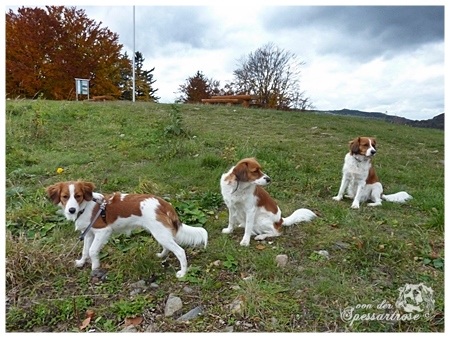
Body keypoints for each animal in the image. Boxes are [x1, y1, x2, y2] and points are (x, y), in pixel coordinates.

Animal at [45, 180, 207, 278]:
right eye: (65, 196)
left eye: (78, 196)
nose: (71, 210)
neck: (86, 206)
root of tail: (163, 203)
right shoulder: (89, 233)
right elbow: (85, 251)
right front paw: (81, 262)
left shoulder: (103, 231)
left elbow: (92, 251)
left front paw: (95, 267)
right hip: (160, 233)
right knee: (168, 246)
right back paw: (162, 255)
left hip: (160, 233)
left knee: (180, 251)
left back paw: (182, 272)